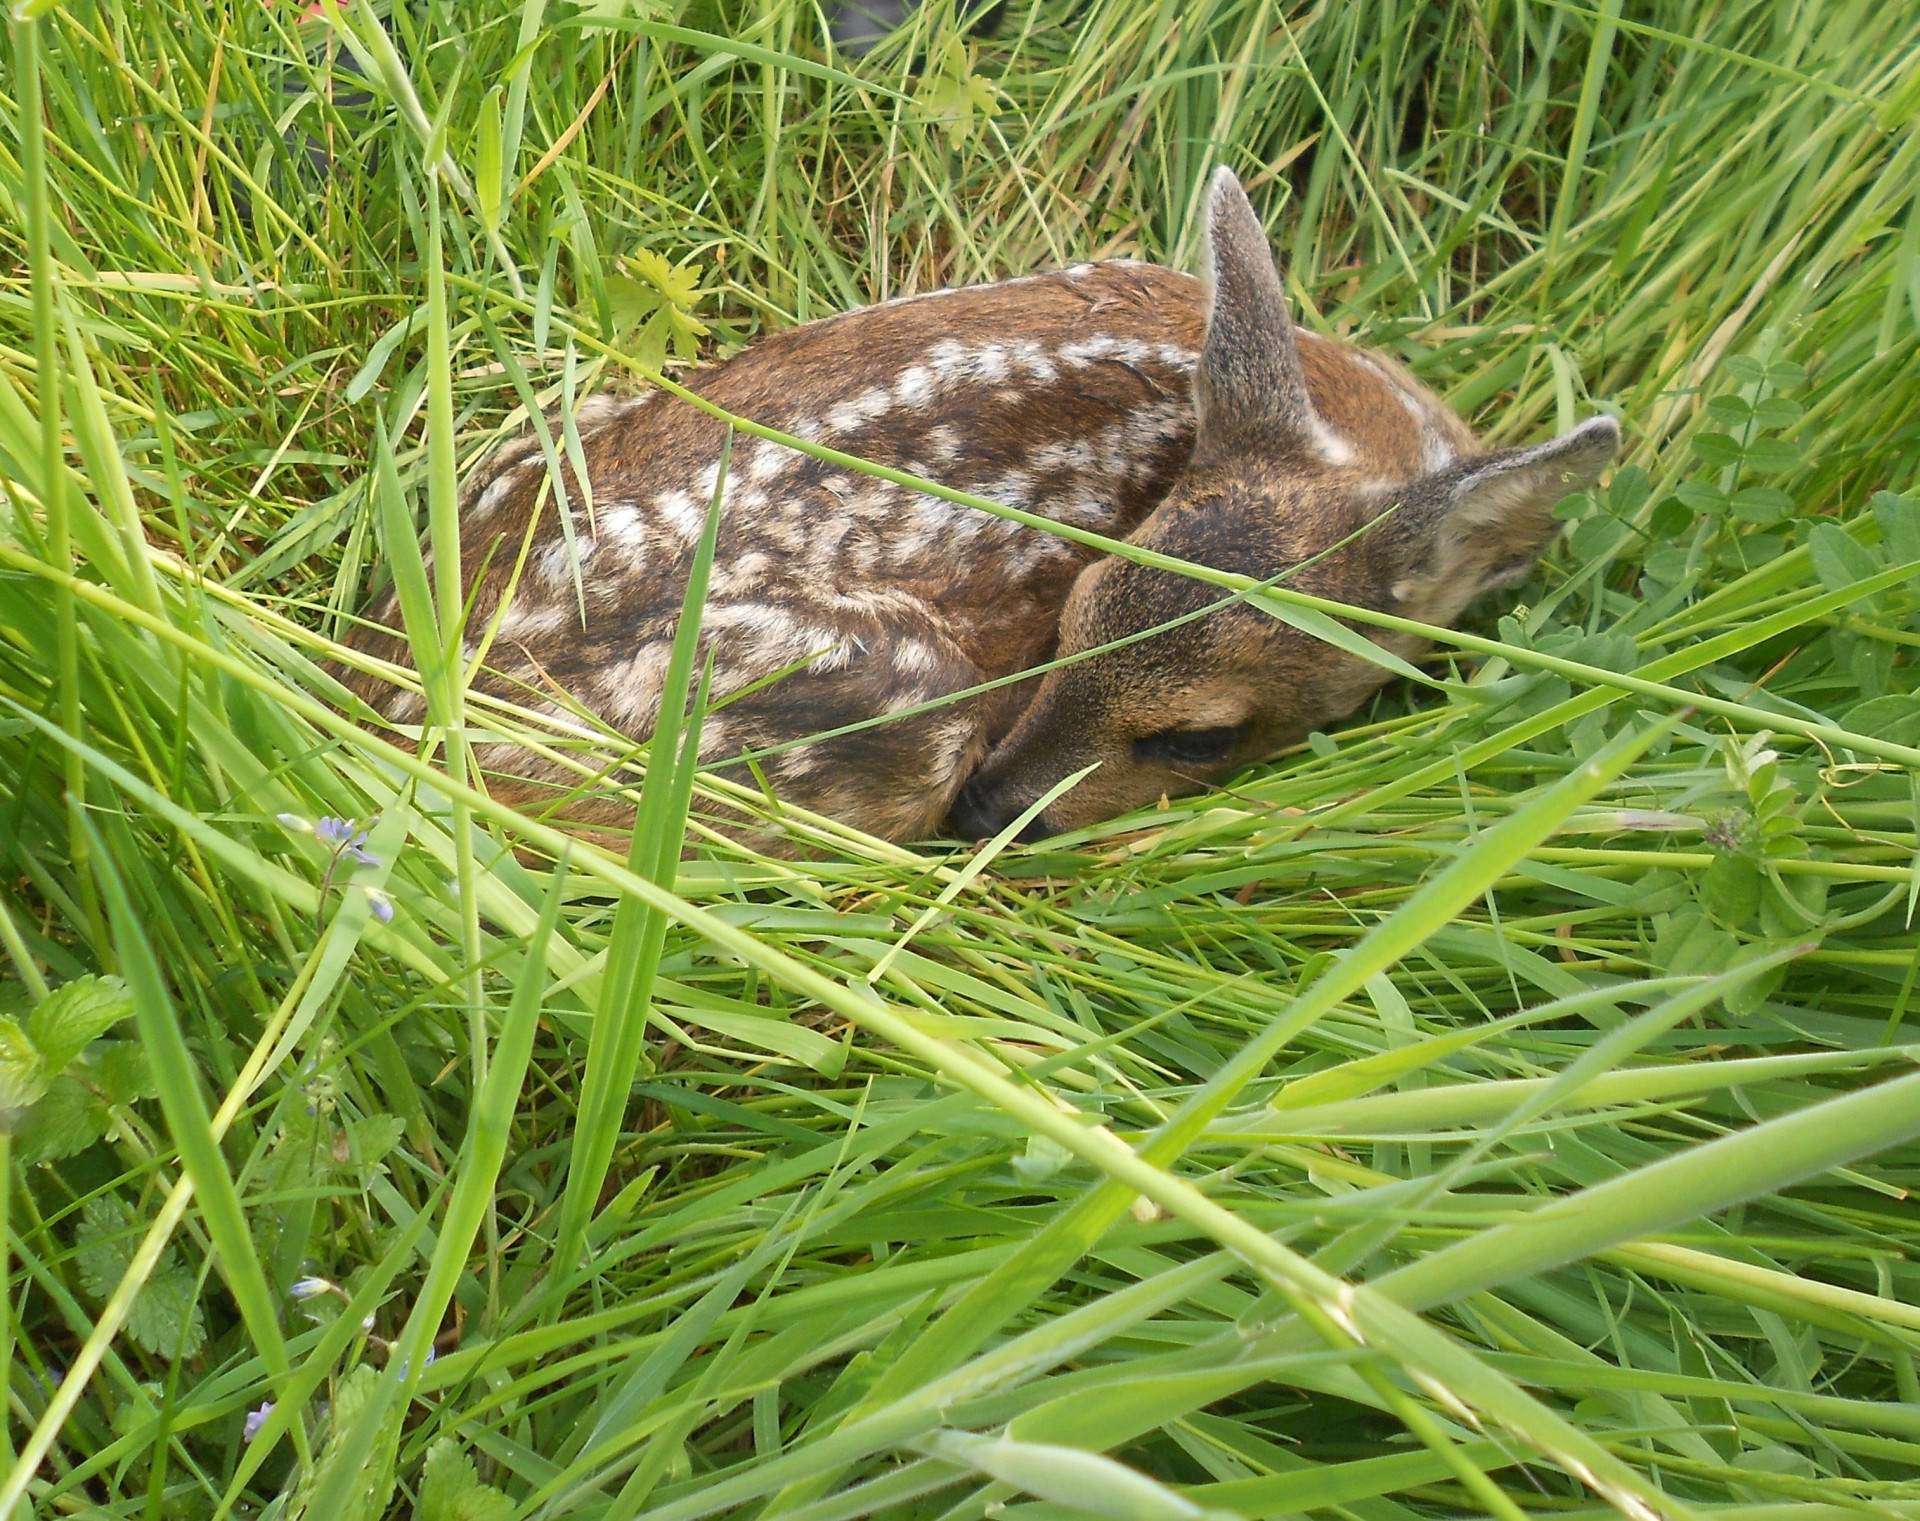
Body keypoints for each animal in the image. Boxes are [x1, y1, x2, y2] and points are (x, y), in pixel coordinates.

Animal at [343, 168, 1618, 847]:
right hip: (888, 690)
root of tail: (395, 715)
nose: (989, 812)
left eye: (1200, 737)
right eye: (1068, 617)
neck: (1370, 427)